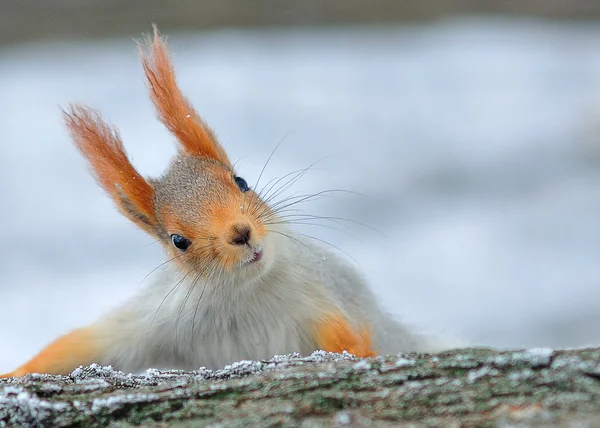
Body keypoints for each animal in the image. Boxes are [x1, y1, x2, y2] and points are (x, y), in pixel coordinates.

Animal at [1, 26, 446, 378]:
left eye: (242, 181)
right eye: (178, 241)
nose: (240, 233)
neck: (249, 292)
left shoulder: (328, 303)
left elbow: (354, 342)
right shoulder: (159, 317)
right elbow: (87, 343)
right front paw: (13, 373)